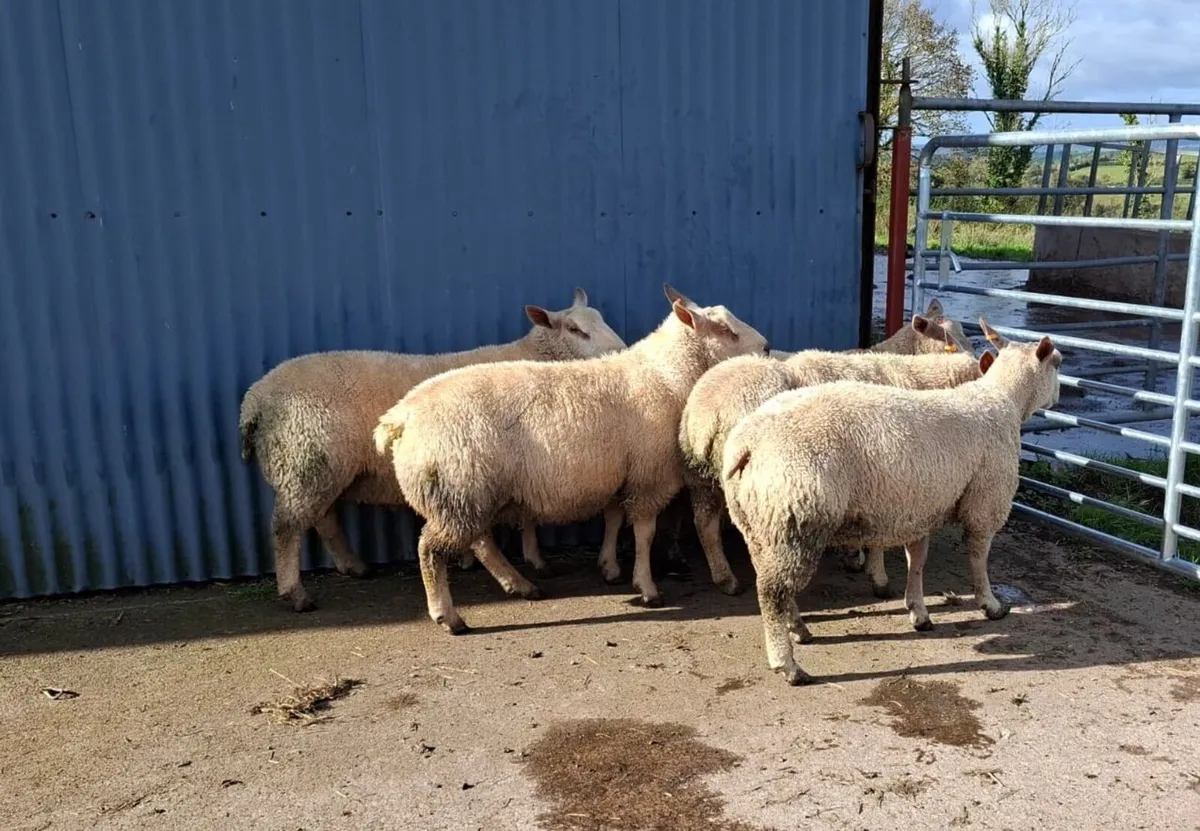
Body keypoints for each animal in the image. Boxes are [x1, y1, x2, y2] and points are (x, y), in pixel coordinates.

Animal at [238, 288, 626, 612]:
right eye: (575, 329)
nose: (621, 352)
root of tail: (254, 399)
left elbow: (528, 515)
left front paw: (533, 557)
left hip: (320, 467)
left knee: (324, 519)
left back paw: (354, 566)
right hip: (304, 461)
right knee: (286, 529)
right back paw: (296, 594)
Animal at [372, 284, 769, 633]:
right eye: (724, 330)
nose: (765, 347)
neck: (668, 376)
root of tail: (401, 416)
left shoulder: (616, 473)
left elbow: (613, 519)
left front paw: (609, 567)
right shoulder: (648, 474)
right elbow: (644, 533)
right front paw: (647, 587)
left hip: (468, 493)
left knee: (481, 543)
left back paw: (521, 586)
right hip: (458, 490)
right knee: (431, 550)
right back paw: (448, 616)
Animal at [677, 316, 981, 600]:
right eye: (951, 341)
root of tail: (707, 412)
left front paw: (854, 556)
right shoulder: (883, 478)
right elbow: (877, 540)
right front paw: (877, 576)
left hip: (699, 476)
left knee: (705, 526)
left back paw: (725, 578)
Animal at [720, 321, 1061, 685]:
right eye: (1058, 362)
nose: (1059, 395)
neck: (1001, 400)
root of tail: (747, 444)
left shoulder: (923, 507)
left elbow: (918, 560)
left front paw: (918, 611)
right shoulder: (986, 499)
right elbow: (978, 558)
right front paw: (990, 604)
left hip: (760, 523)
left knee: (769, 580)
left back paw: (797, 628)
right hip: (796, 518)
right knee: (773, 592)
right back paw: (787, 664)